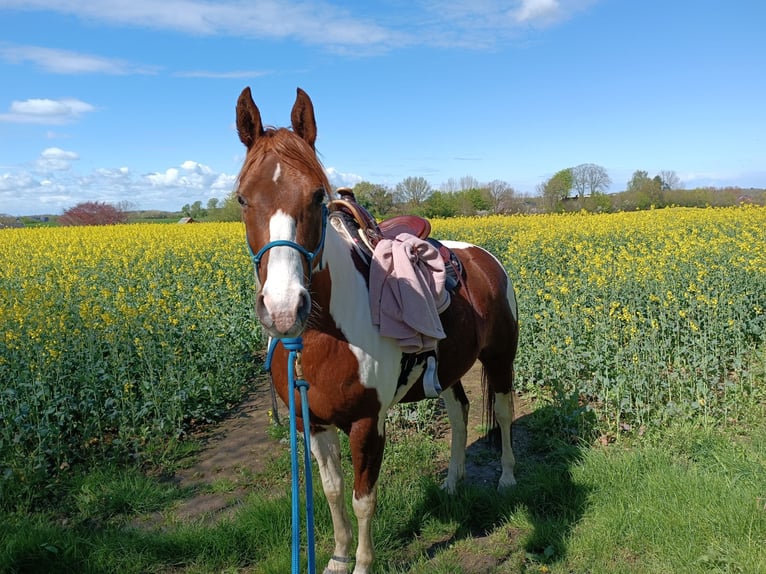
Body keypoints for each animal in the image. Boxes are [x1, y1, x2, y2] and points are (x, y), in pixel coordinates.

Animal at [236, 86, 520, 574]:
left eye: (317, 196)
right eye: (241, 199)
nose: (283, 308)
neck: (325, 337)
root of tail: (485, 258)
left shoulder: (368, 422)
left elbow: (363, 498)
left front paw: (362, 564)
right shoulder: (313, 423)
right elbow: (332, 491)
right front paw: (336, 558)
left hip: (500, 359)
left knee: (502, 412)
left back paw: (505, 478)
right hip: (448, 369)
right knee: (460, 413)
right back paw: (453, 482)